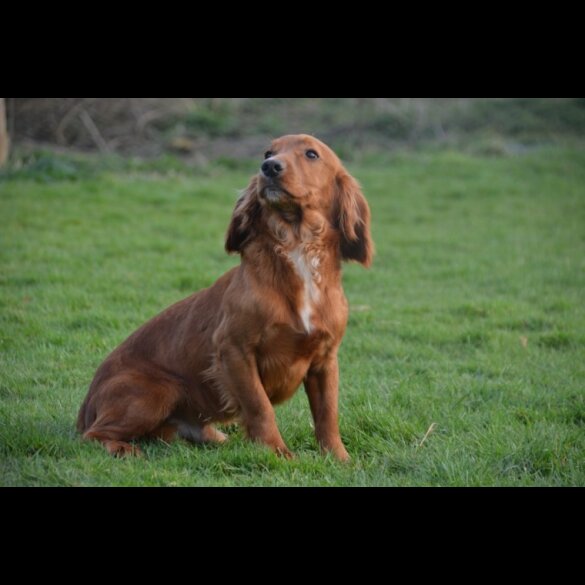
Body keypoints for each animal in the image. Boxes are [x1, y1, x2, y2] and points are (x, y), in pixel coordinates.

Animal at [77, 136, 372, 460]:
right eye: (268, 152)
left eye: (311, 154)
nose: (269, 167)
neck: (298, 249)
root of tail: (86, 405)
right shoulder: (234, 350)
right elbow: (260, 406)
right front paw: (276, 453)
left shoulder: (326, 359)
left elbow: (327, 413)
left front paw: (339, 458)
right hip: (157, 392)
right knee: (93, 435)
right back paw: (124, 449)